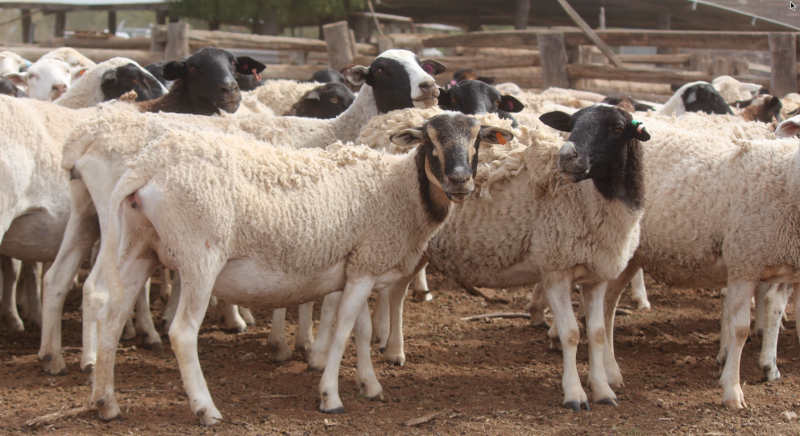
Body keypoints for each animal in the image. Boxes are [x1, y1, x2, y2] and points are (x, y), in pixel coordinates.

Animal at [89, 113, 510, 423]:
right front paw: (330, 397)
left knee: (110, 318)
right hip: (199, 255)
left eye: (476, 141)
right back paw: (206, 410)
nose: (460, 181)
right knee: (182, 333)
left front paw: (370, 386)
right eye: (429, 142)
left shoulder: (360, 265)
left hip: (138, 249)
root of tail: (147, 165)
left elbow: (361, 331)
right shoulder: (366, 266)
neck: (400, 190)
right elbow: (341, 332)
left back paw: (107, 404)